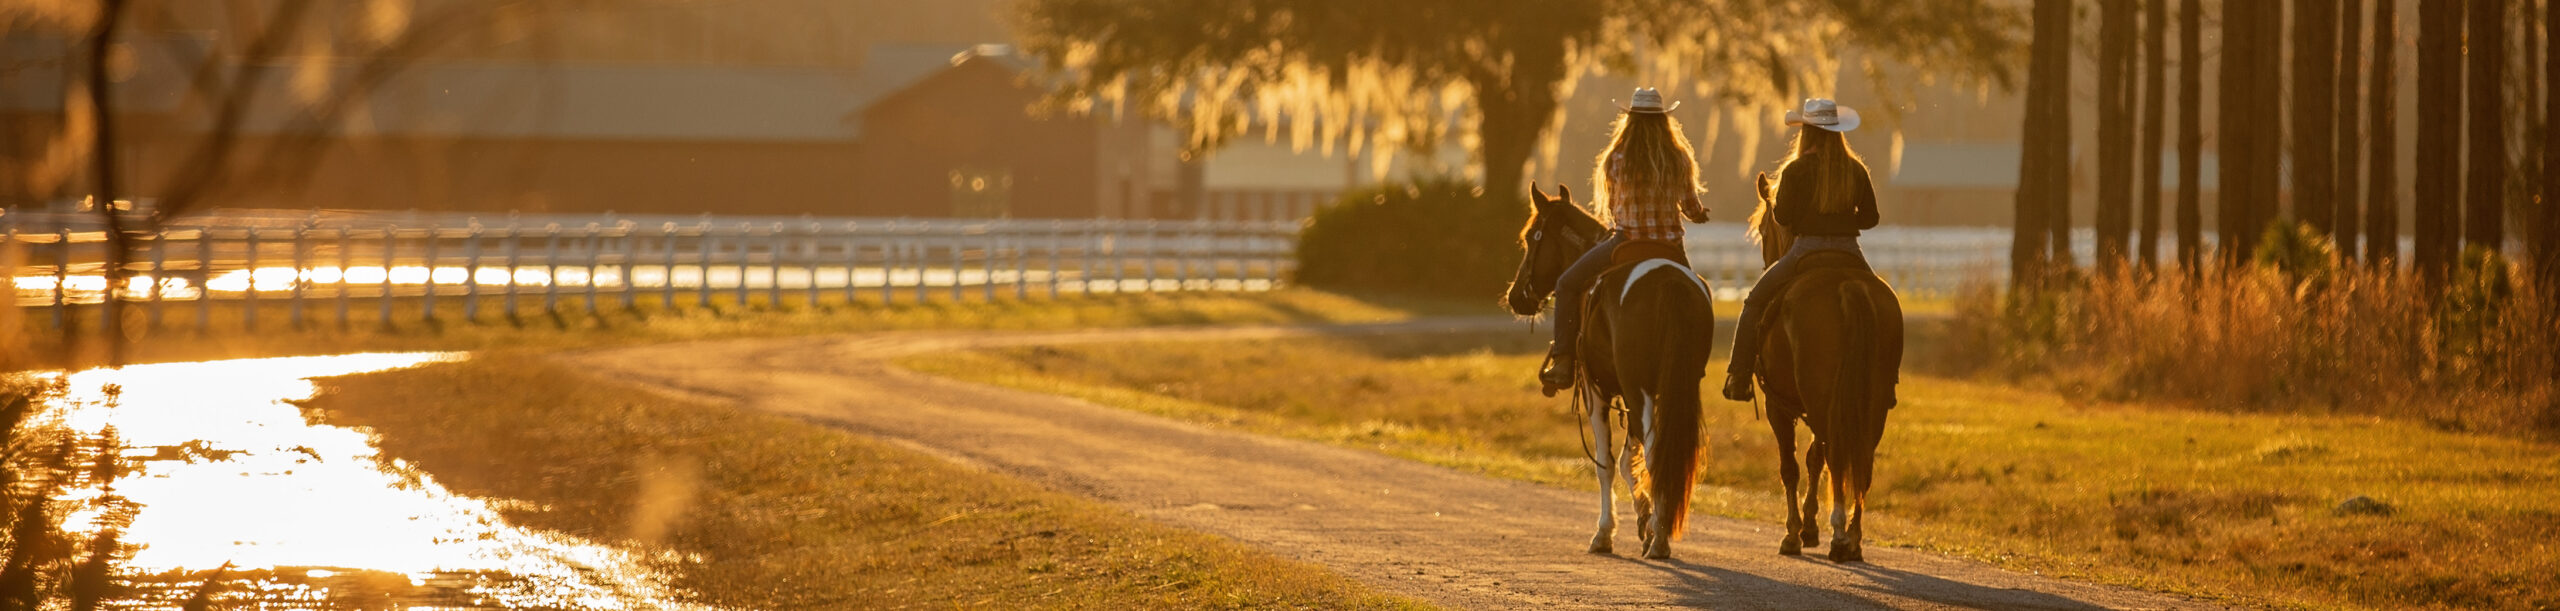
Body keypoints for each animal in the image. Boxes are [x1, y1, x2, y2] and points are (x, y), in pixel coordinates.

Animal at [1495, 184, 1720, 559]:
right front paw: (1644, 520)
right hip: (1675, 387)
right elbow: (1630, 460)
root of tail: (1668, 284)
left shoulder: (1596, 390)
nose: (1516, 297)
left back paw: (1659, 540)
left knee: (1654, 453)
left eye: (1529, 237)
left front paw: (1606, 532)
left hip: (1636, 388)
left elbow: (1607, 463)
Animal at [1740, 171, 1904, 562]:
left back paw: (1841, 535)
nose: (1768, 259)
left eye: (1764, 228)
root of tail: (1847, 286)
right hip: (1868, 404)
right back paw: (1853, 538)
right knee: (1859, 458)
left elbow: (1791, 466)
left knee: (1837, 454)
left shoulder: (1778, 406)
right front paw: (1810, 527)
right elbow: (1815, 458)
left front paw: (1794, 533)